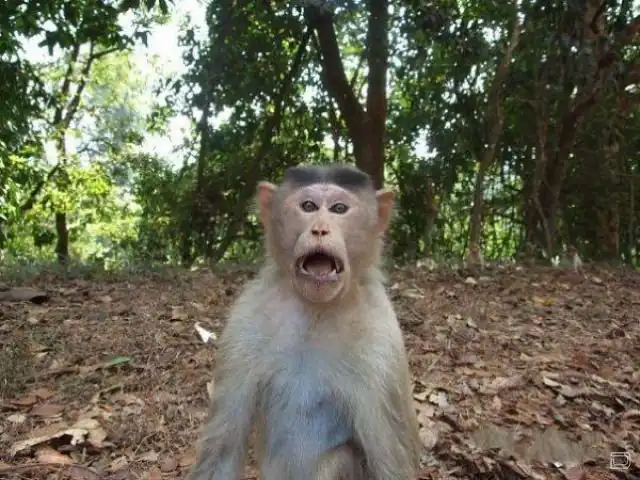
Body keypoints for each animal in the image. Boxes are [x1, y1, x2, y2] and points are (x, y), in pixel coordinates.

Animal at [188, 164, 422, 480]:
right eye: (308, 207)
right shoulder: (245, 320)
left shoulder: (382, 342)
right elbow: (221, 451)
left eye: (339, 209)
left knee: (342, 458)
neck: (317, 310)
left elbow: (391, 464)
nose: (320, 229)